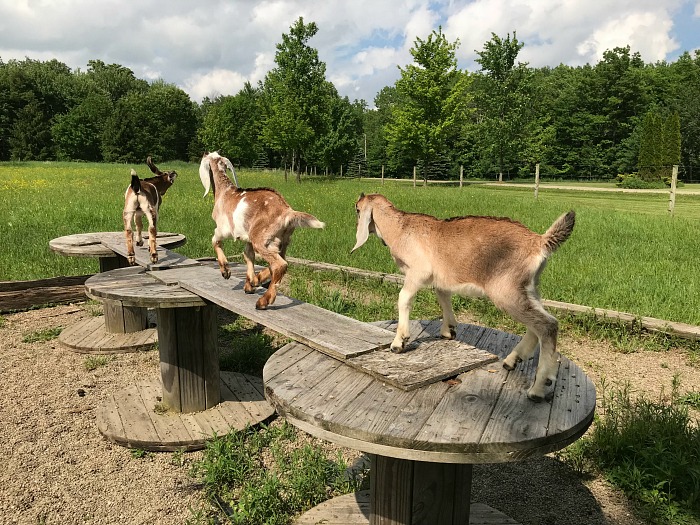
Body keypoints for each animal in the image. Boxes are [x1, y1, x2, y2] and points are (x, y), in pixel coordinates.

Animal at [200, 149, 326, 310]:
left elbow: (215, 241)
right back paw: (258, 280)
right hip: (280, 241)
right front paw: (250, 283)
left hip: (261, 239)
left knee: (280, 264)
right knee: (281, 261)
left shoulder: (224, 229)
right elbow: (248, 255)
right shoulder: (247, 238)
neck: (224, 192)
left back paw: (264, 301)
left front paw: (226, 271)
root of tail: (287, 212)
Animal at [350, 192, 576, 402]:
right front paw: (448, 330)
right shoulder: (441, 277)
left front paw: (399, 343)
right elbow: (443, 296)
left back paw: (537, 388)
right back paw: (513, 360)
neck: (400, 229)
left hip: (507, 291)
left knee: (547, 324)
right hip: (529, 288)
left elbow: (403, 298)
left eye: (357, 209)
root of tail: (539, 242)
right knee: (538, 323)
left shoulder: (418, 272)